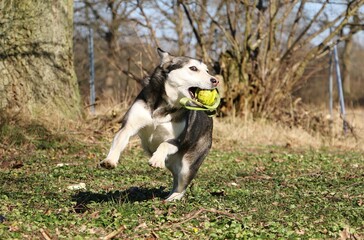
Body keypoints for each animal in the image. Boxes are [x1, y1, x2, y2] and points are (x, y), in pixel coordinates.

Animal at [99, 48, 219, 201]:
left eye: (207, 71)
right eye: (193, 68)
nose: (215, 80)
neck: (165, 105)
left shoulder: (178, 140)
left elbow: (164, 144)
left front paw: (156, 159)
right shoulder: (128, 126)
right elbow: (119, 140)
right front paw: (110, 160)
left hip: (189, 164)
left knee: (182, 185)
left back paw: (172, 199)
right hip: (173, 164)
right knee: (176, 179)